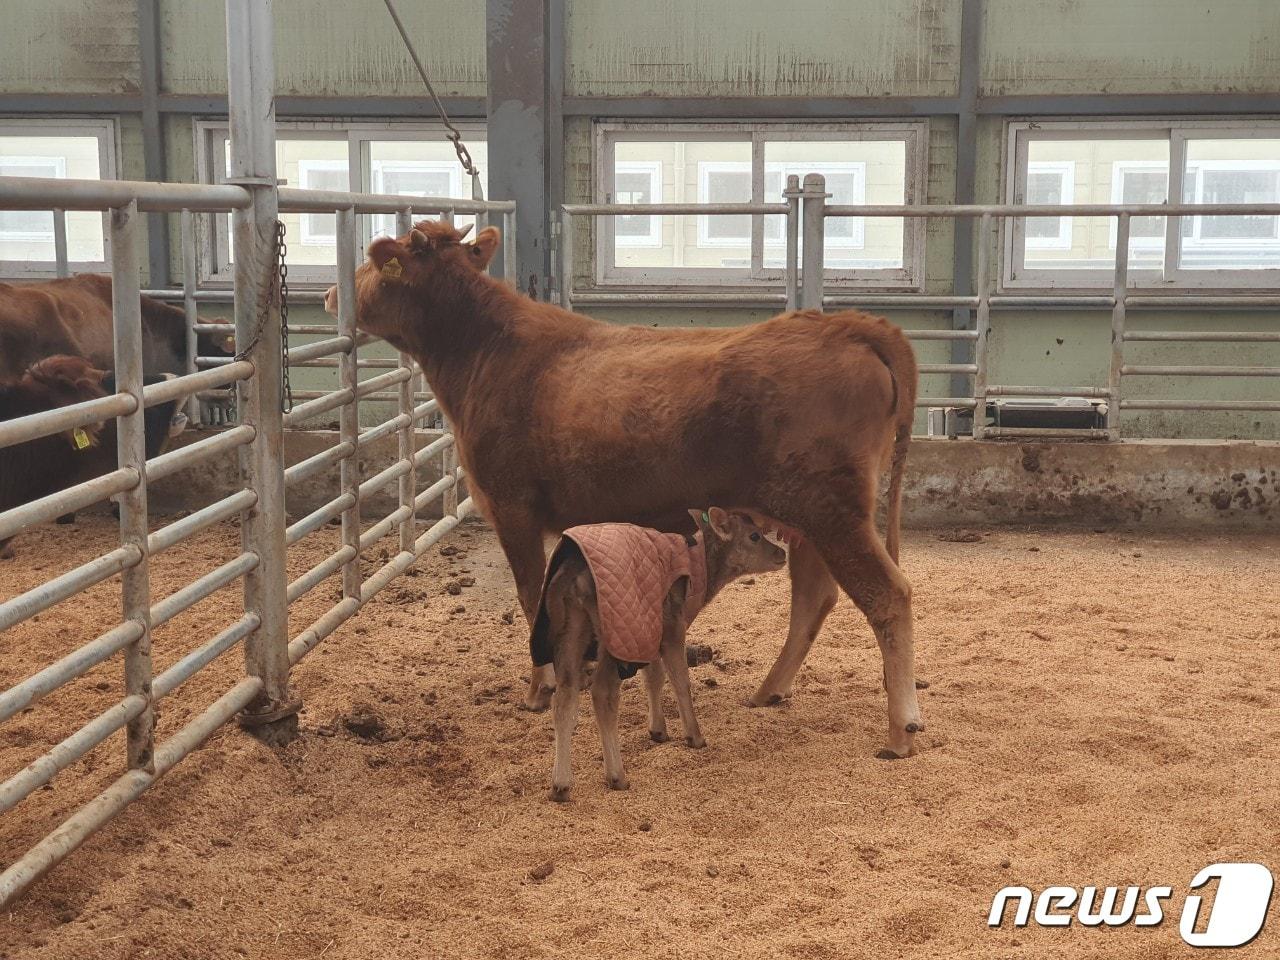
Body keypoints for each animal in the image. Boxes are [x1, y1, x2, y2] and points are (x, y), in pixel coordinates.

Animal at [330, 221, 926, 762]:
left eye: (372, 262)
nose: (335, 292)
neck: (483, 354)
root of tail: (851, 325)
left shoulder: (511, 506)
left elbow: (529, 595)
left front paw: (539, 689)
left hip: (830, 509)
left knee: (887, 595)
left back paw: (900, 730)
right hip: (808, 516)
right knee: (814, 596)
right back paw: (769, 691)